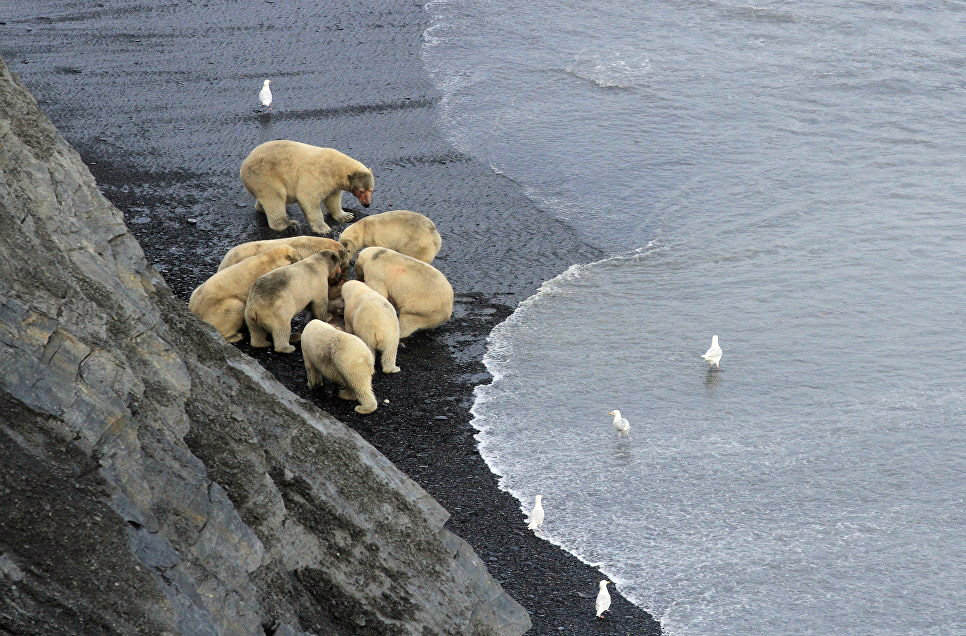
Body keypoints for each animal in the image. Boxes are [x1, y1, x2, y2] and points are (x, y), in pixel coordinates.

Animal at [240, 140, 376, 235]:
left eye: (371, 190)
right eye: (361, 191)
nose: (367, 204)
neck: (335, 167)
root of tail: (244, 164)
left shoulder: (333, 184)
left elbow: (333, 199)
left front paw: (347, 216)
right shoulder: (316, 175)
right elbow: (309, 199)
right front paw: (324, 229)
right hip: (265, 176)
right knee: (275, 197)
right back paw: (289, 224)